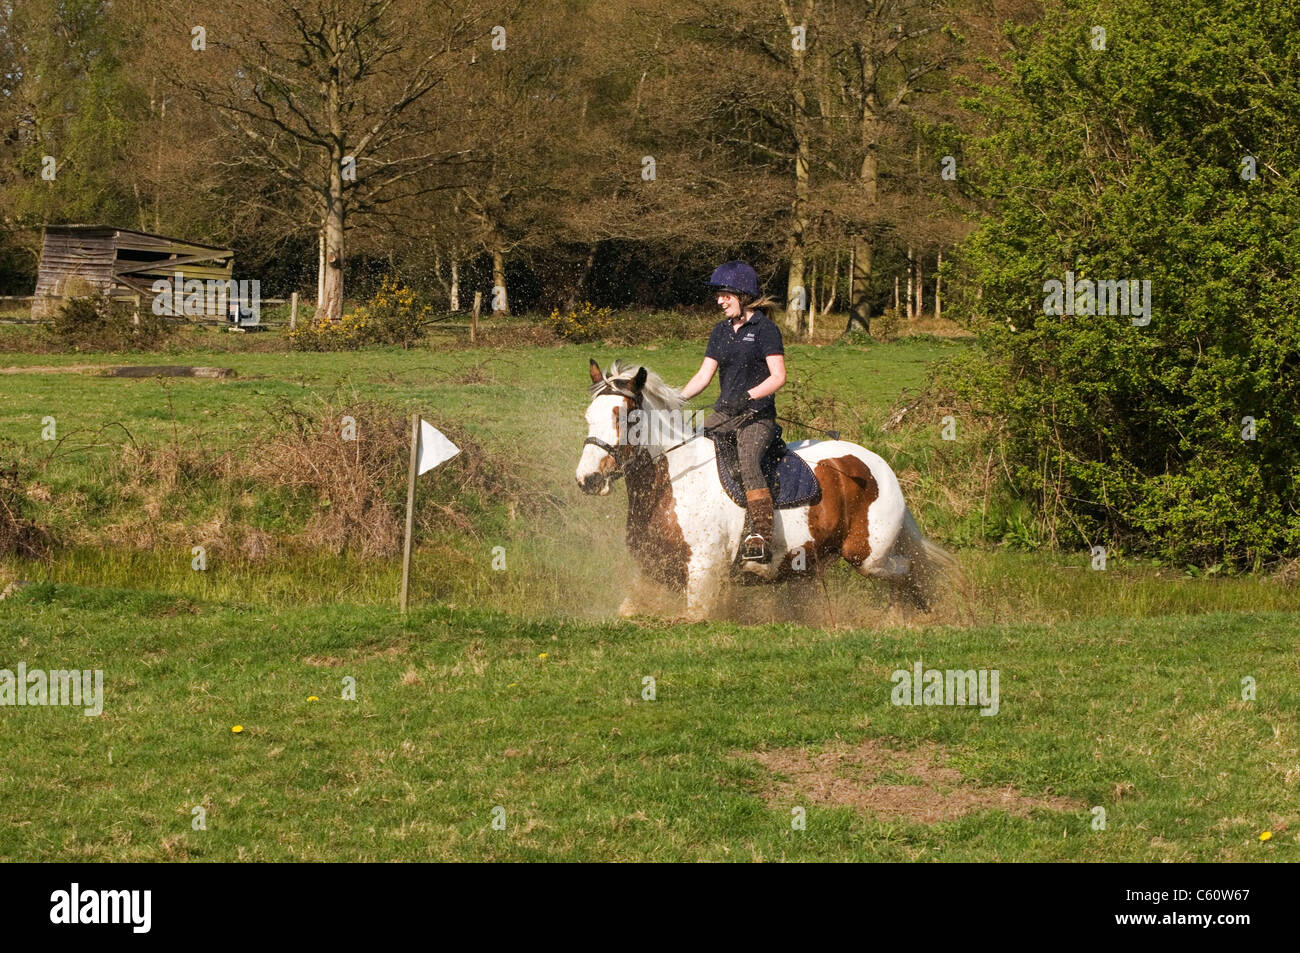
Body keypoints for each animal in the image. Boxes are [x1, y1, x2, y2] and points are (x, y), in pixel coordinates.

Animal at [575, 358, 962, 622]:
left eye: (626, 418)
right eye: (589, 416)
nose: (588, 479)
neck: (672, 483)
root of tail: (879, 465)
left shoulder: (703, 571)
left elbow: (693, 615)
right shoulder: (651, 571)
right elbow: (627, 611)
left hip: (867, 555)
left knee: (905, 570)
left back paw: (903, 617)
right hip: (811, 563)